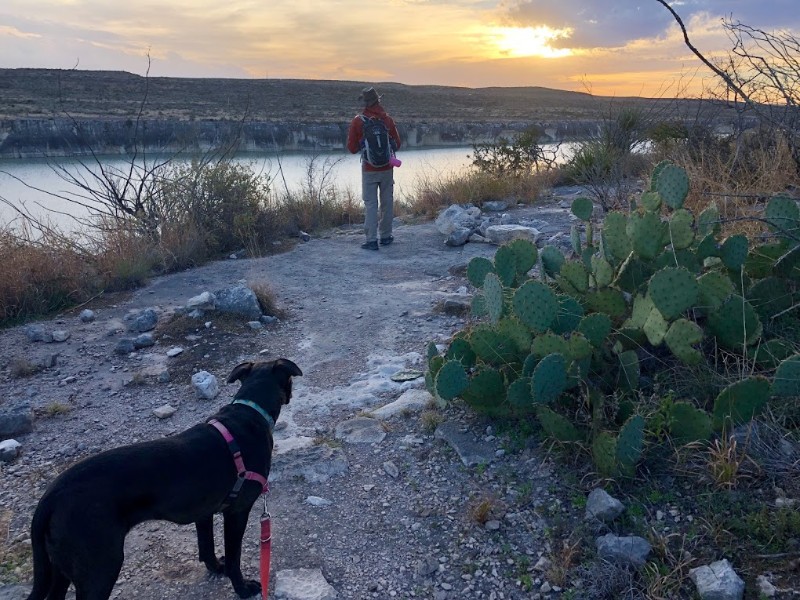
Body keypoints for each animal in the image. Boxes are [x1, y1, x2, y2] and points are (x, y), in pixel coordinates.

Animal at [27, 358, 304, 596]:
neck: (249, 412)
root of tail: (51, 497)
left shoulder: (203, 511)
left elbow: (207, 547)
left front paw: (217, 568)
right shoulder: (237, 511)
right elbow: (234, 557)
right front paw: (242, 588)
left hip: (61, 568)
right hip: (100, 566)